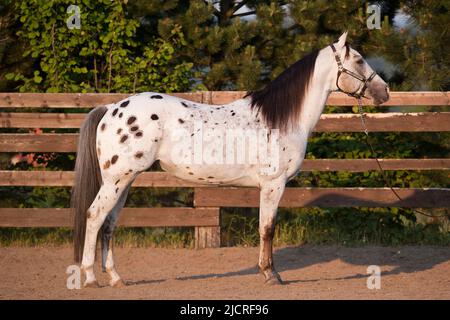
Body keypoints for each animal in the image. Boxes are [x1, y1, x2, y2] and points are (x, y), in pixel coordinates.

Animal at [72, 32, 388, 288]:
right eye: (359, 60)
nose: (384, 92)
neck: (279, 120)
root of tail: (111, 107)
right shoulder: (273, 185)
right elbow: (267, 228)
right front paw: (271, 275)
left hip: (125, 181)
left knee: (109, 223)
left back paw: (115, 278)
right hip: (116, 180)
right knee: (95, 216)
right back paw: (90, 278)